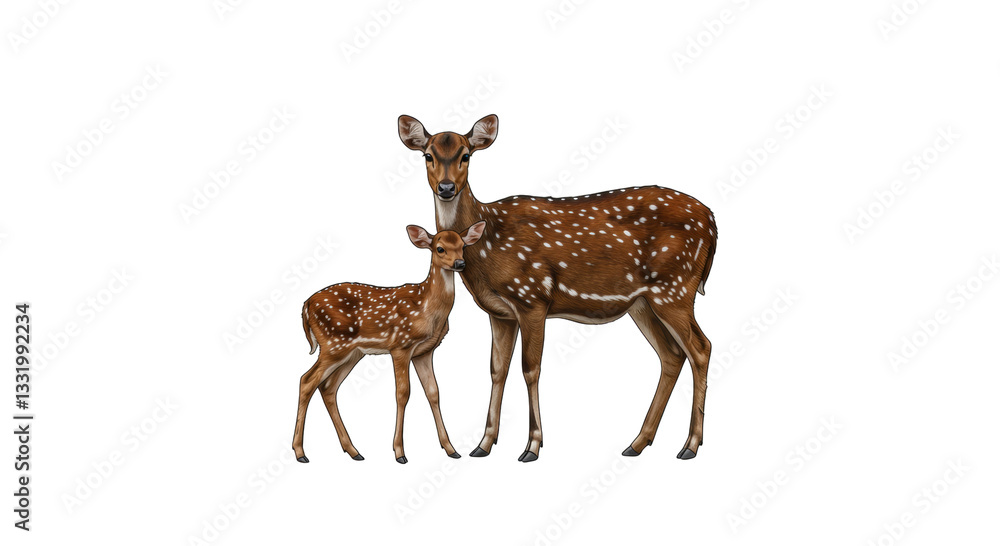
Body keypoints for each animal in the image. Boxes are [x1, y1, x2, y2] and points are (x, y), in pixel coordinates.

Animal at [292, 221, 487, 464]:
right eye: (440, 248)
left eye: (463, 246)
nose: (460, 263)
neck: (427, 309)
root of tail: (306, 305)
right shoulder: (401, 345)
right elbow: (403, 393)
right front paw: (400, 452)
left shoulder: (425, 352)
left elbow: (434, 393)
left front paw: (451, 449)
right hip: (333, 344)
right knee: (306, 380)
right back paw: (300, 452)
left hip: (352, 352)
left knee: (328, 388)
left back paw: (354, 451)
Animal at [397, 114, 718, 462]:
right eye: (428, 155)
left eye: (466, 155)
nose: (446, 187)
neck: (488, 242)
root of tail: (712, 221)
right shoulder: (500, 312)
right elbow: (497, 369)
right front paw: (483, 444)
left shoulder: (532, 298)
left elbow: (530, 369)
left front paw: (532, 446)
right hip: (643, 302)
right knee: (672, 355)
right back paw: (637, 443)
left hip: (675, 287)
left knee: (701, 348)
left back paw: (690, 445)